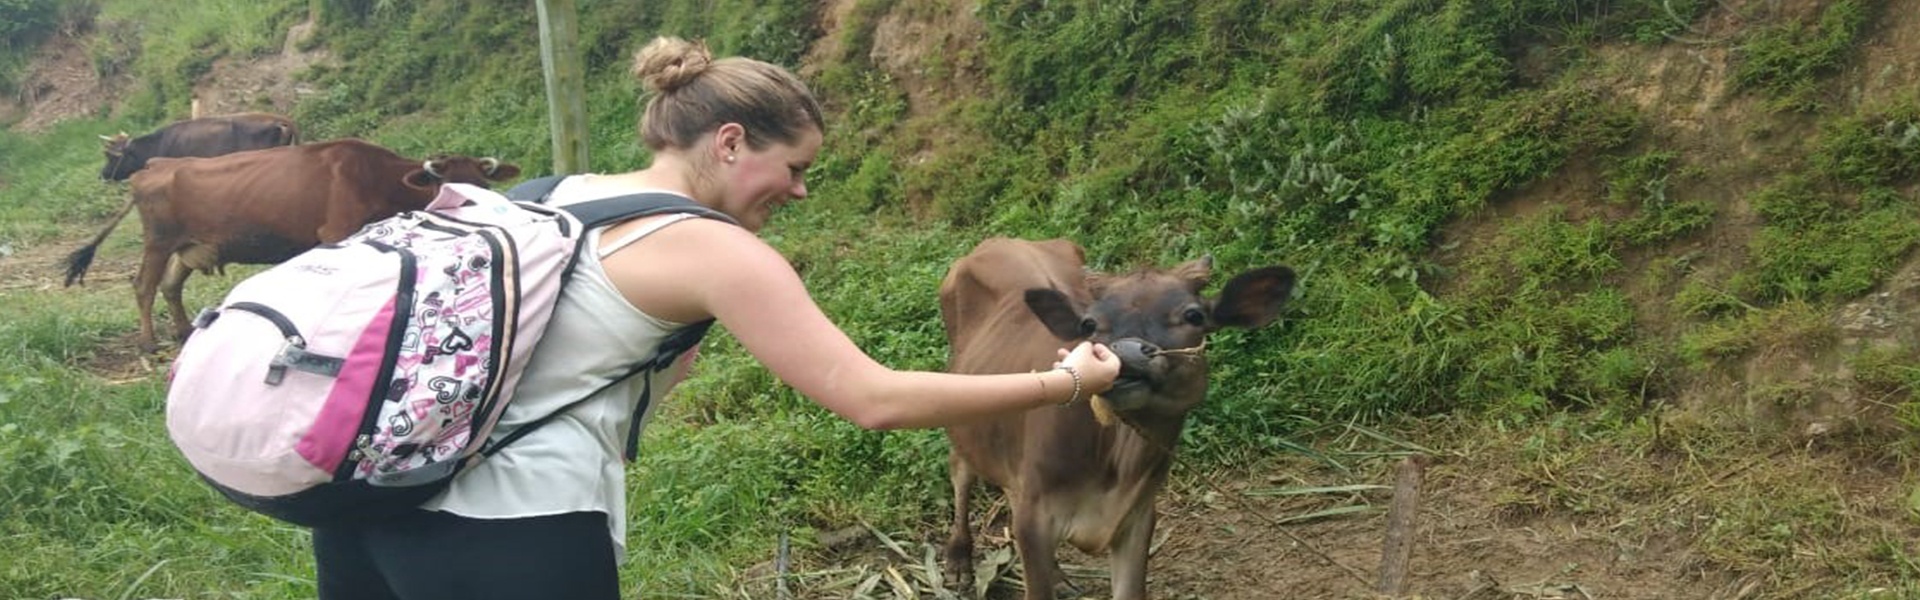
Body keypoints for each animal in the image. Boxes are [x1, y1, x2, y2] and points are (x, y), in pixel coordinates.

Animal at [65, 137, 518, 350]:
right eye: (447, 186)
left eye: (484, 184)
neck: (374, 176)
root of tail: (154, 165)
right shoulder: (336, 233)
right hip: (158, 241)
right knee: (143, 285)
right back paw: (148, 340)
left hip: (189, 246)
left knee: (170, 285)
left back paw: (182, 331)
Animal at [940, 237, 1297, 600]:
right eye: (1088, 325)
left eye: (1194, 315)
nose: (1125, 352)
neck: (1117, 464)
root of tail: (1000, 240)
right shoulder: (1035, 518)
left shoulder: (1138, 517)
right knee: (960, 470)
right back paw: (958, 561)